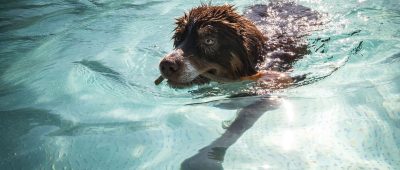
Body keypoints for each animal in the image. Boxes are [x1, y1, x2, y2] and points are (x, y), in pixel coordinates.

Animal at [155, 1, 322, 169]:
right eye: (178, 38)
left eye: (209, 40)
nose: (166, 65)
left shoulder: (268, 90)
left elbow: (240, 123)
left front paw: (206, 158)